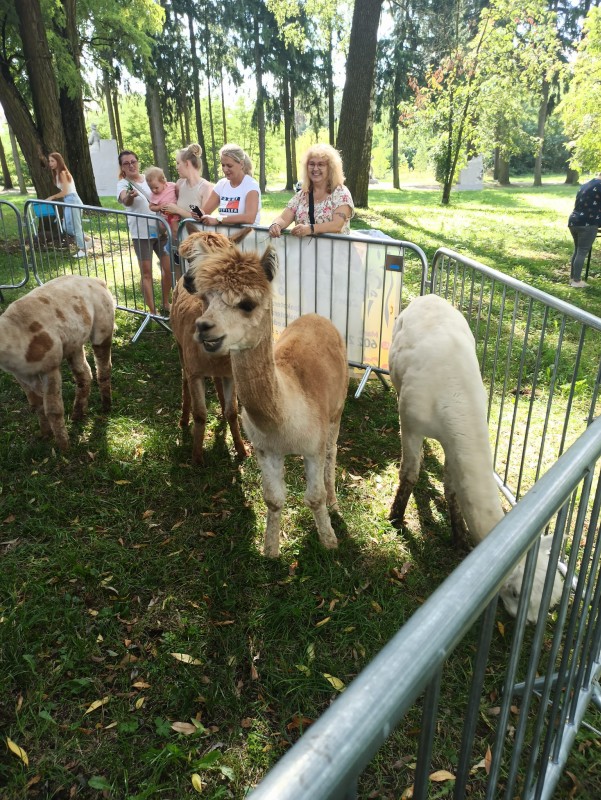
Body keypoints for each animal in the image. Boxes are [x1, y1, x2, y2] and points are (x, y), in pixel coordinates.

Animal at [184, 239, 348, 557]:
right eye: (205, 299)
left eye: (247, 304)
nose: (203, 327)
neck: (283, 420)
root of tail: (316, 315)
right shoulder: (265, 449)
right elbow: (273, 499)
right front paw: (270, 551)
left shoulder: (313, 446)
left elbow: (315, 497)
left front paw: (330, 541)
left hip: (337, 410)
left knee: (333, 451)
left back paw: (335, 502)